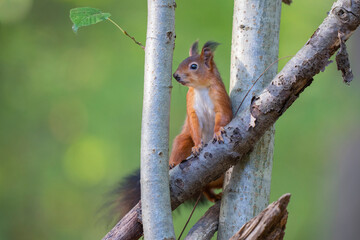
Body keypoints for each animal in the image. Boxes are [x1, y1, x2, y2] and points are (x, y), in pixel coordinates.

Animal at [114, 40, 233, 219]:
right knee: (203, 187)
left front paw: (218, 132)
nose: (176, 75)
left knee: (206, 188)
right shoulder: (191, 106)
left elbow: (224, 117)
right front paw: (197, 145)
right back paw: (173, 165)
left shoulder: (220, 99)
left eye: (193, 66)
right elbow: (194, 126)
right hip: (182, 141)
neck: (200, 89)